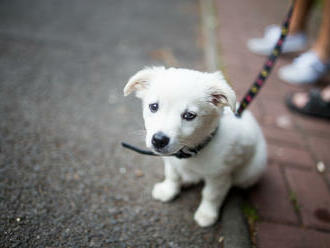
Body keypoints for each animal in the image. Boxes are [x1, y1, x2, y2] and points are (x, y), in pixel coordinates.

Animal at [124, 67, 268, 228]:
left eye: (189, 115)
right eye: (153, 106)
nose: (159, 140)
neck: (189, 152)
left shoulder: (219, 175)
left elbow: (211, 194)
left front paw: (206, 214)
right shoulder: (172, 162)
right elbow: (172, 175)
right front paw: (168, 191)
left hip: (251, 171)